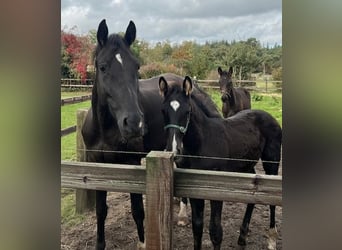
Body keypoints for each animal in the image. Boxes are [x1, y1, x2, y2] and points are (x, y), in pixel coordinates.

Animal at [81, 19, 220, 248]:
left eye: (136, 67)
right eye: (103, 67)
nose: (134, 123)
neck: (104, 129)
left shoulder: (132, 163)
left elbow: (138, 210)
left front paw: (143, 242)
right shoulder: (95, 165)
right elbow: (101, 211)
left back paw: (182, 215)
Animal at [159, 76, 282, 250]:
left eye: (187, 111)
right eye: (163, 111)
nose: (174, 149)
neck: (203, 141)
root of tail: (270, 117)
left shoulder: (215, 189)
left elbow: (215, 231)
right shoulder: (194, 188)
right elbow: (197, 228)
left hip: (271, 161)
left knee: (272, 201)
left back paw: (271, 239)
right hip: (245, 166)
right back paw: (242, 237)